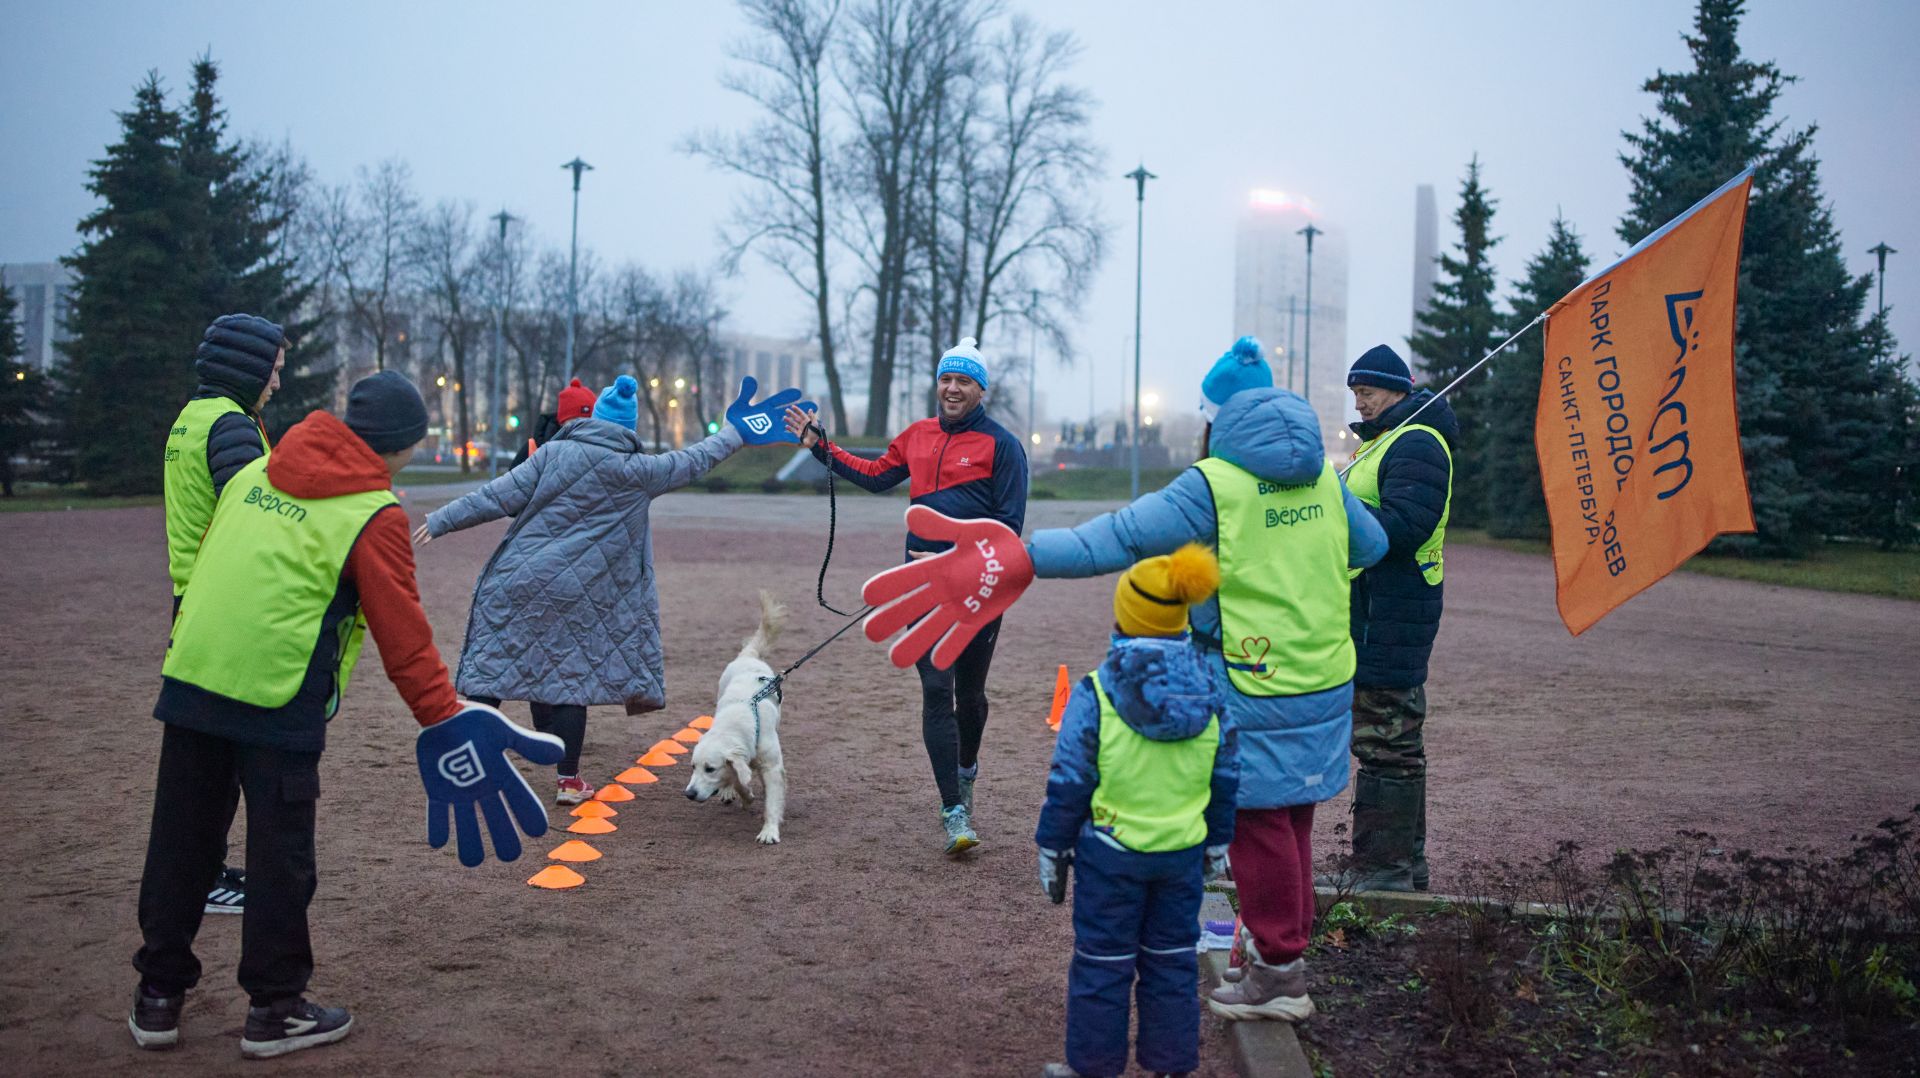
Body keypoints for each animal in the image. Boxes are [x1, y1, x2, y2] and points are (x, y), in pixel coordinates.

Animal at [684, 590, 789, 844]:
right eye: (693, 766)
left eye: (710, 769)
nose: (689, 794)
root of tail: (748, 655)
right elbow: (739, 780)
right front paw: (744, 795)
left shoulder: (772, 767)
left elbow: (772, 801)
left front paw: (769, 831)